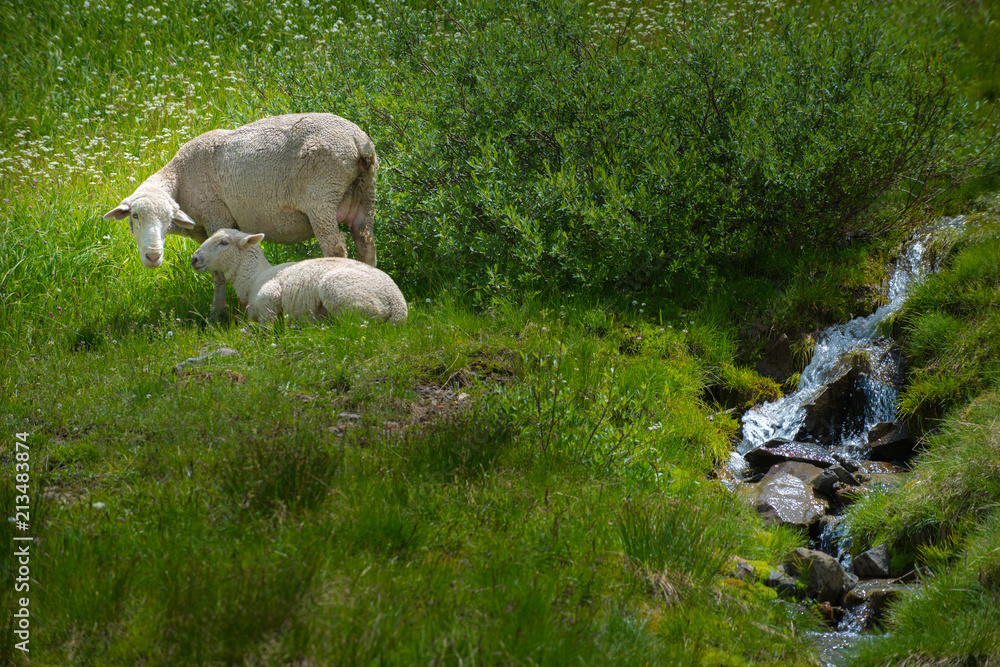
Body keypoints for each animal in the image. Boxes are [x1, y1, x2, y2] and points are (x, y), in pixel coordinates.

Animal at [103, 113, 378, 319]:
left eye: (168, 219)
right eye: (135, 216)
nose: (153, 256)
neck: (180, 174)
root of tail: (358, 141)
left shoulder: (215, 215)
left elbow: (217, 273)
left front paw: (218, 314)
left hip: (321, 196)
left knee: (335, 249)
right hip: (365, 196)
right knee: (367, 246)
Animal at [190, 228, 407, 324]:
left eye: (224, 242)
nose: (194, 259)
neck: (253, 279)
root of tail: (399, 306)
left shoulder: (269, 296)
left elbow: (266, 324)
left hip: (344, 292)